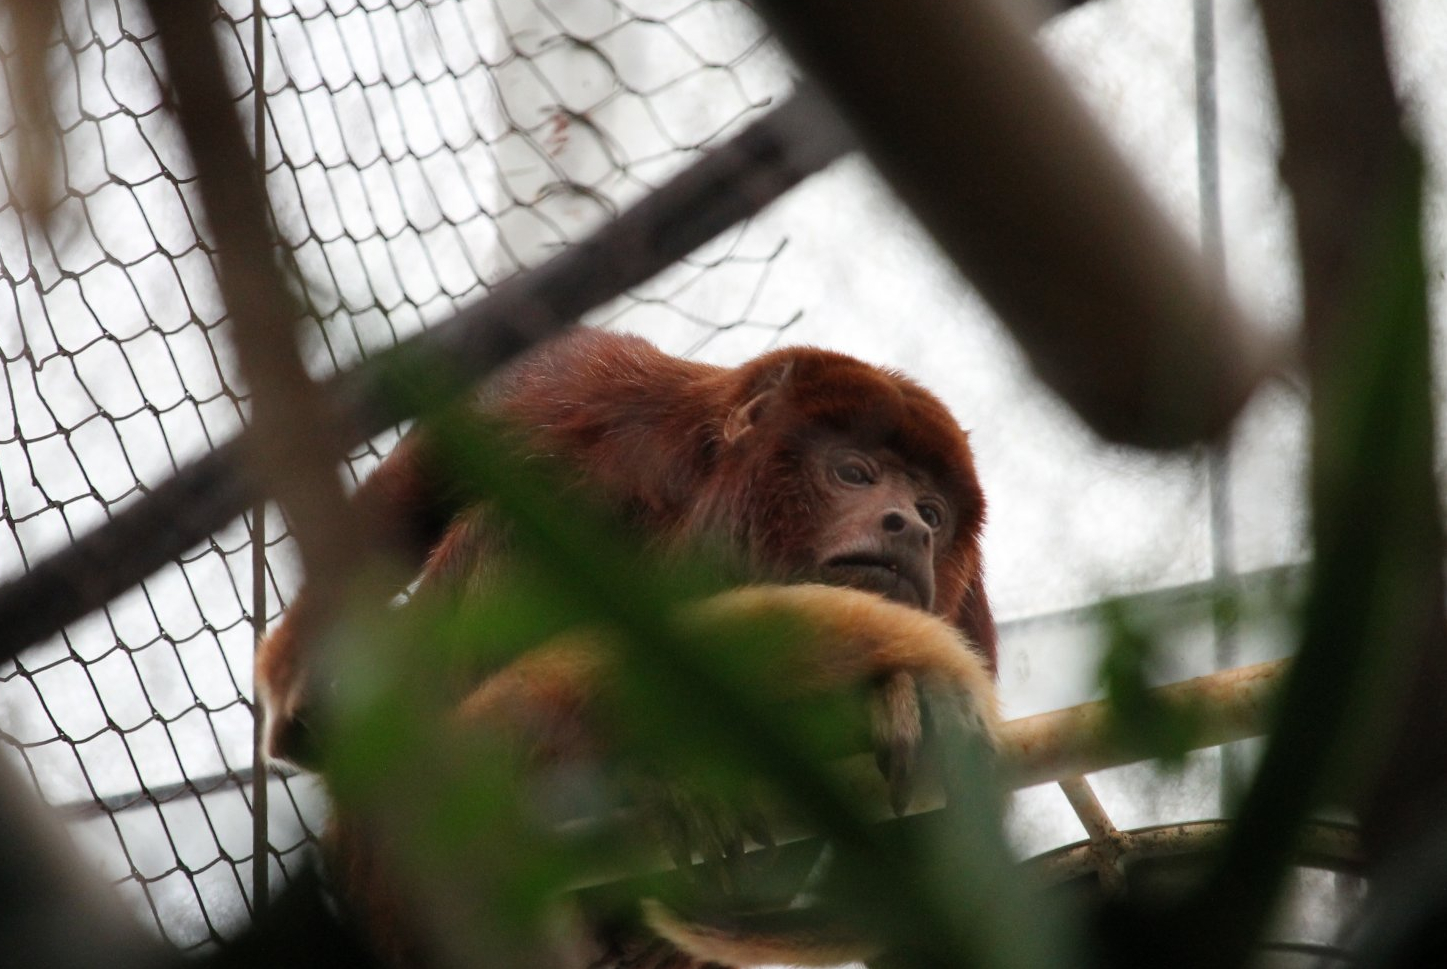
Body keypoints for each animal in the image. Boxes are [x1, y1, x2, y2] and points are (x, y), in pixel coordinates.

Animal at [255, 327, 1000, 968]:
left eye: (933, 512)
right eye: (853, 473)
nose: (909, 527)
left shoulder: (963, 600)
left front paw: (904, 694)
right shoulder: (616, 403)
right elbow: (443, 456)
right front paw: (294, 672)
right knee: (506, 529)